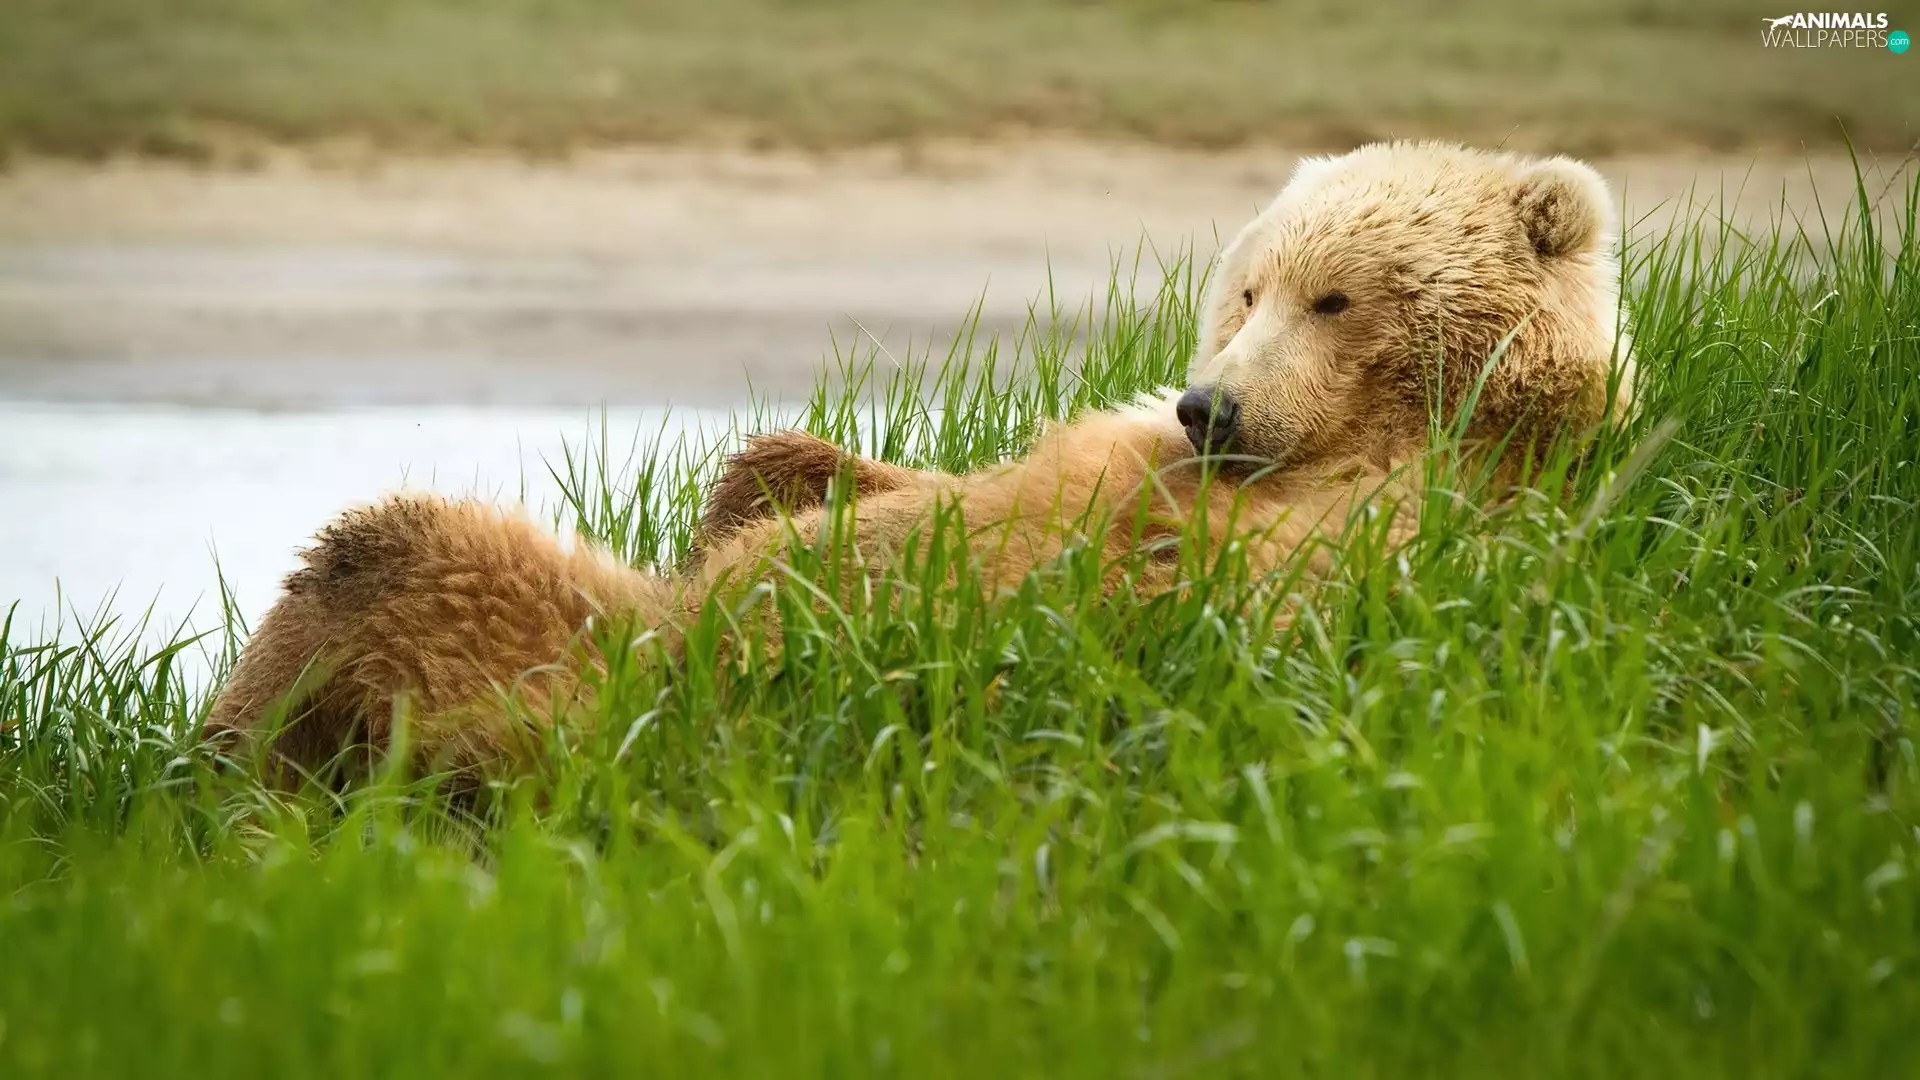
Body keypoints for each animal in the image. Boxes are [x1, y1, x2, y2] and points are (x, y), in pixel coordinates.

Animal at [204, 140, 1635, 787]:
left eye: (1336, 298)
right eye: (1247, 287)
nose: (1208, 406)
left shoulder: (1368, 536)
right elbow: (861, 482)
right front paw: (783, 489)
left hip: (563, 685)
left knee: (391, 552)